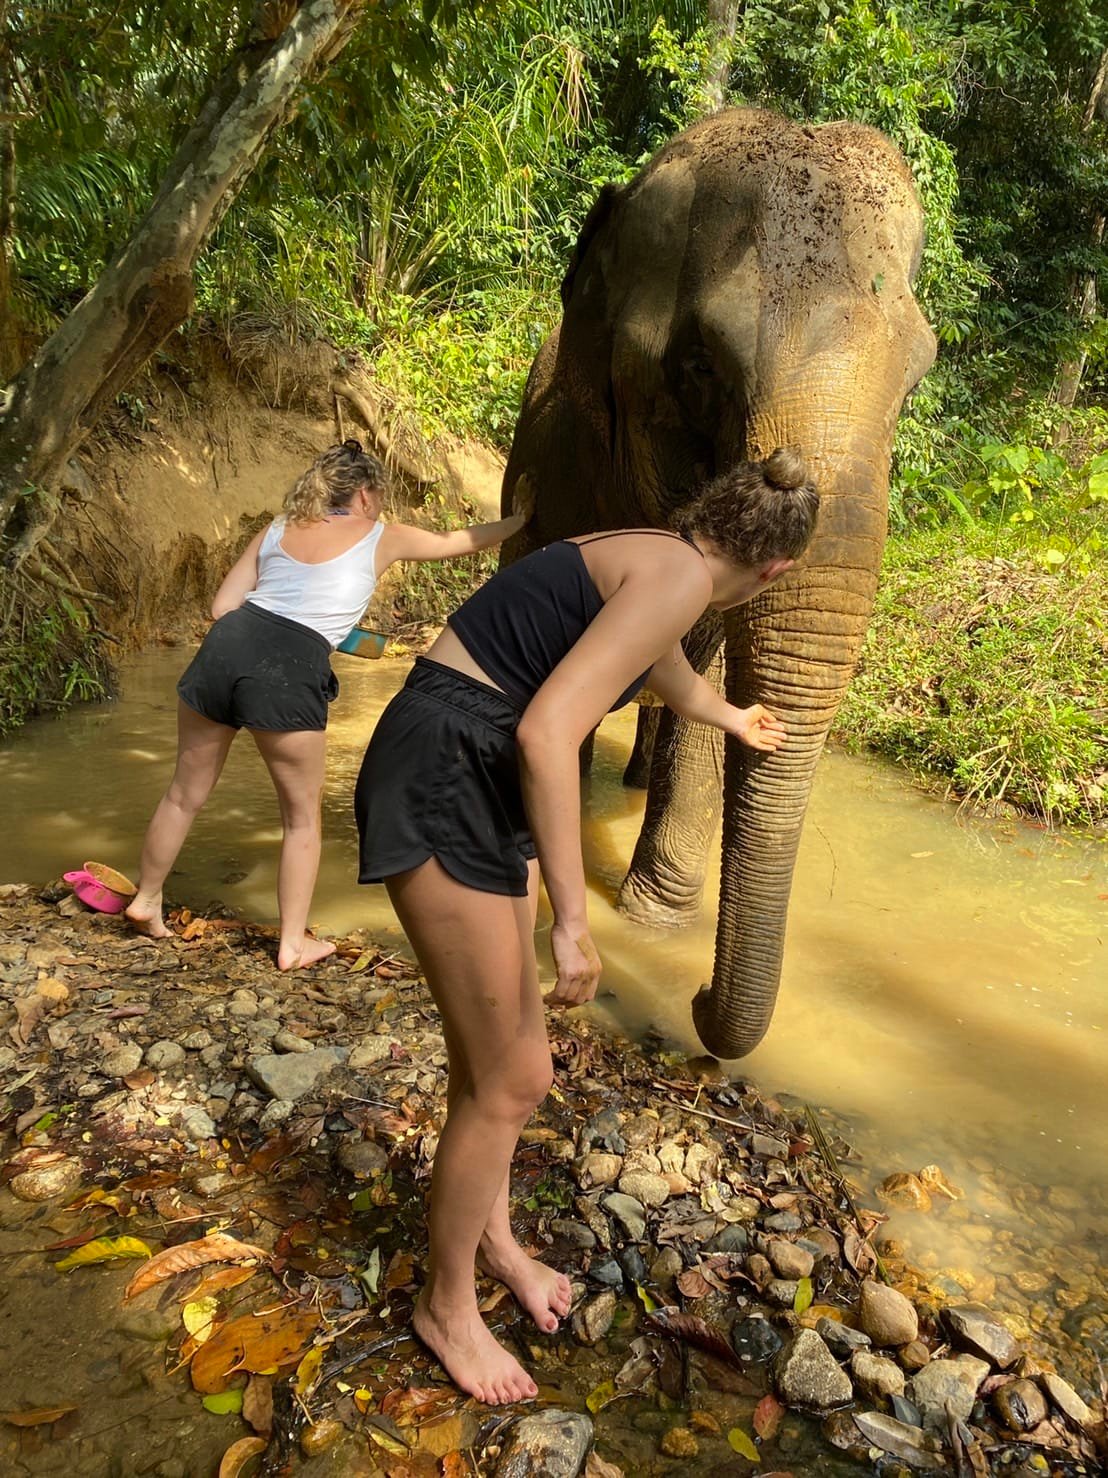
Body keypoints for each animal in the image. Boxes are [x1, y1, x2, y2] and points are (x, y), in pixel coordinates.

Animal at [499, 107, 936, 1059]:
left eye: (917, 377)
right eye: (700, 367)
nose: (698, 999)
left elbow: (705, 669)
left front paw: (655, 922)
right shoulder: (548, 480)